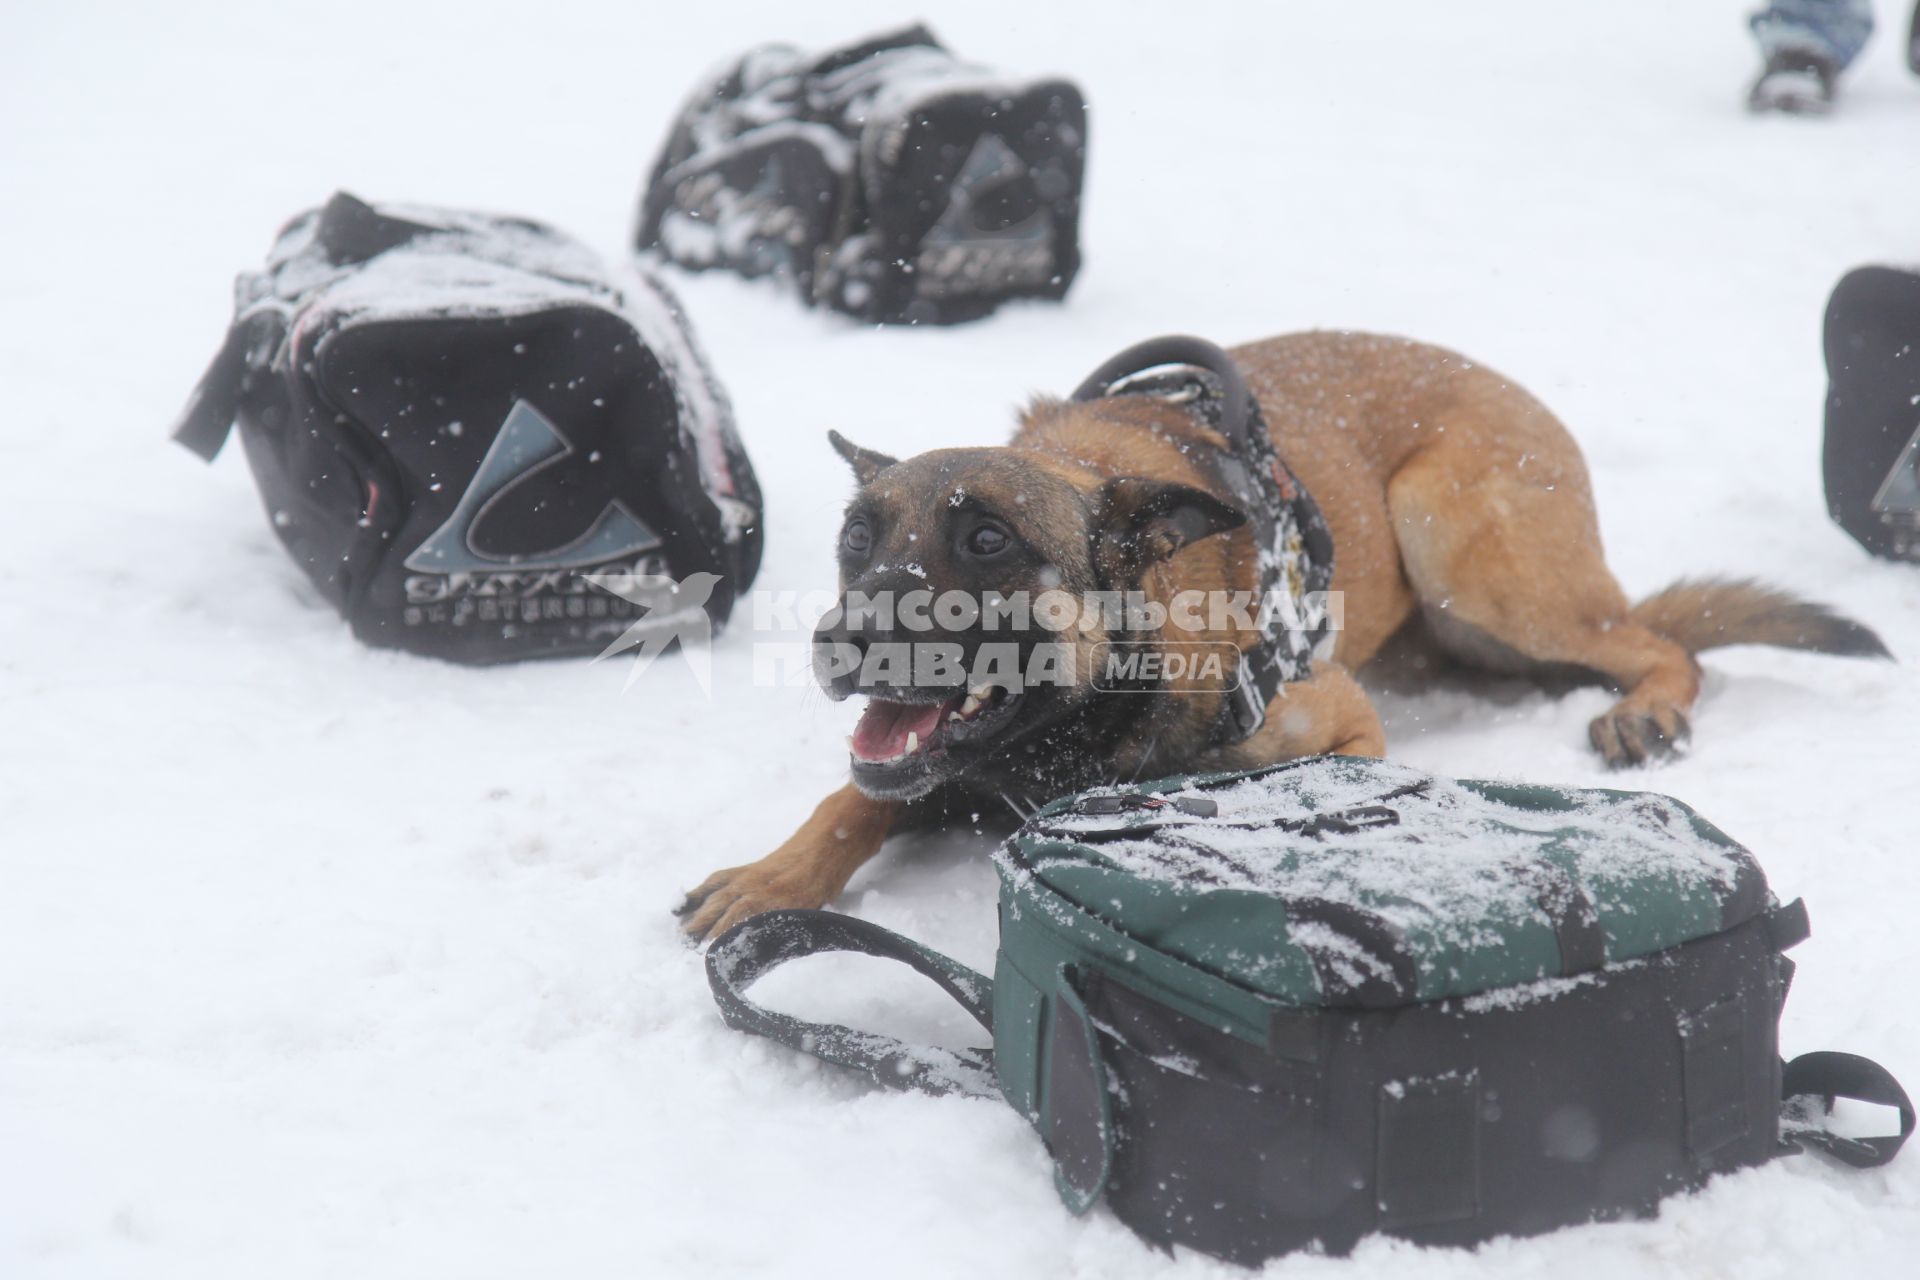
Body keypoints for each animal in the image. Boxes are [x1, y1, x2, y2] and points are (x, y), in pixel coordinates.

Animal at [679, 335, 1889, 948]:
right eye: (857, 538)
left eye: (987, 539)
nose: (840, 642)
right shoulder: (934, 766)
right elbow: (852, 797)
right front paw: (777, 872)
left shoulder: (1340, 723)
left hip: (1468, 553)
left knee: (1659, 642)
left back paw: (1649, 705)